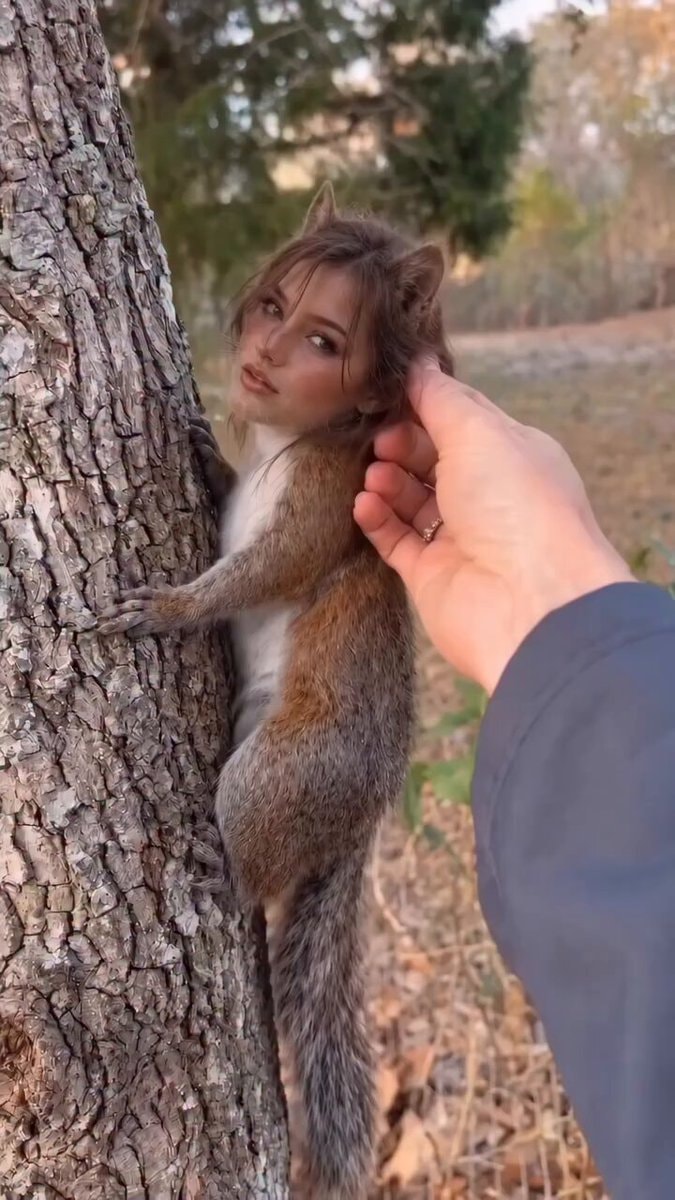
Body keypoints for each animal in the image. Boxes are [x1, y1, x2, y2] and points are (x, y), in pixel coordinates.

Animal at [100, 183, 453, 1198]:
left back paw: (219, 871)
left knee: (254, 872)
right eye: (270, 305)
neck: (285, 442)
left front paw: (168, 607)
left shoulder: (327, 498)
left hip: (281, 772)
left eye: (325, 339)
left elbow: (264, 569)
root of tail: (361, 812)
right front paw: (204, 445)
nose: (257, 361)